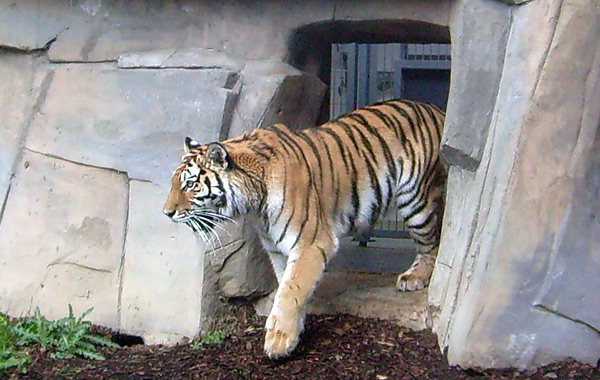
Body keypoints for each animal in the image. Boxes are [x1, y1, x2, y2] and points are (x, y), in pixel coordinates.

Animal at [164, 98, 446, 360]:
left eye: (190, 184)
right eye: (175, 183)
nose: (167, 213)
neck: (255, 202)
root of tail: (436, 109)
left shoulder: (312, 242)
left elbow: (292, 290)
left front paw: (279, 342)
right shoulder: (277, 249)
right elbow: (286, 286)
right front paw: (294, 331)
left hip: (417, 199)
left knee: (431, 242)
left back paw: (415, 277)